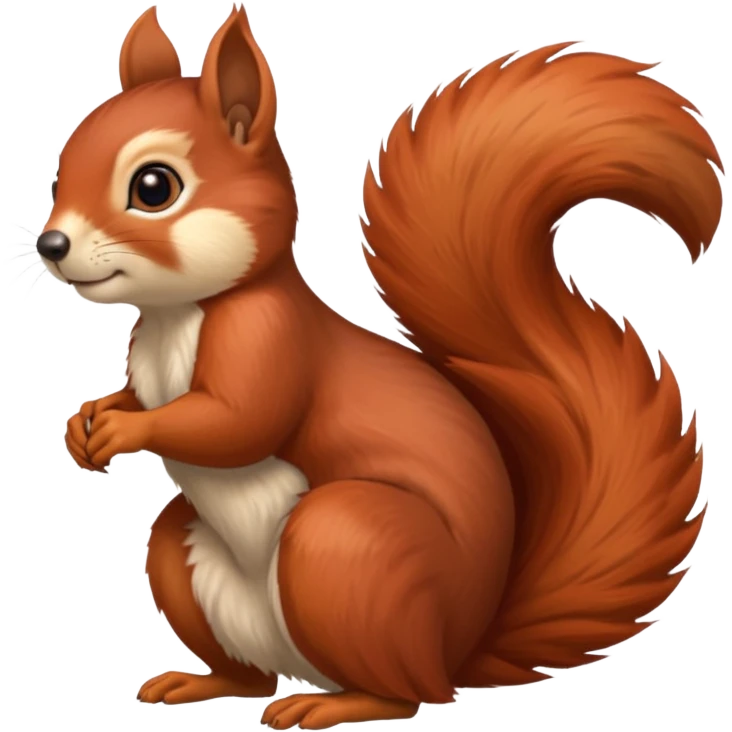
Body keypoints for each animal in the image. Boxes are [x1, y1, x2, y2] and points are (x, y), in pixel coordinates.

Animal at [35, 4, 722, 729]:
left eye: (153, 187)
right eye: (61, 167)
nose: (51, 244)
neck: (178, 315)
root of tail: (458, 646)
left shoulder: (270, 340)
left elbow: (237, 422)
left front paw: (123, 432)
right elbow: (138, 397)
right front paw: (88, 421)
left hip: (348, 547)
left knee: (410, 693)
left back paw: (332, 704)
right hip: (188, 556)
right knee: (250, 674)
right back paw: (201, 683)